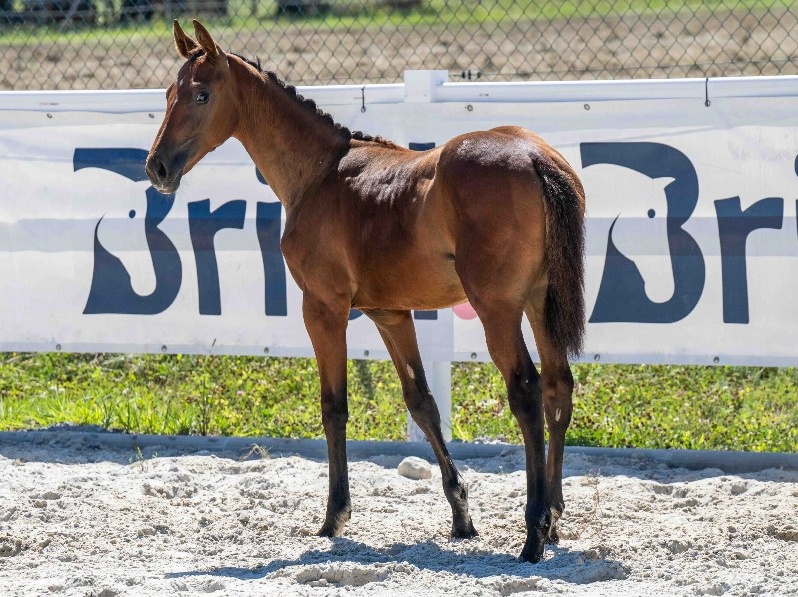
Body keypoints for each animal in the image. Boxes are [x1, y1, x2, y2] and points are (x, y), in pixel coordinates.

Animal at [146, 20, 586, 563]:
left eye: (202, 94)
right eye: (169, 94)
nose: (157, 168)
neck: (320, 175)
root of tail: (534, 156)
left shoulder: (324, 308)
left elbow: (333, 406)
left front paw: (334, 515)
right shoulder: (390, 313)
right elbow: (421, 402)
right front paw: (461, 515)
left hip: (497, 309)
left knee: (524, 390)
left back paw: (533, 531)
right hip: (540, 301)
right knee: (557, 387)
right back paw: (554, 521)